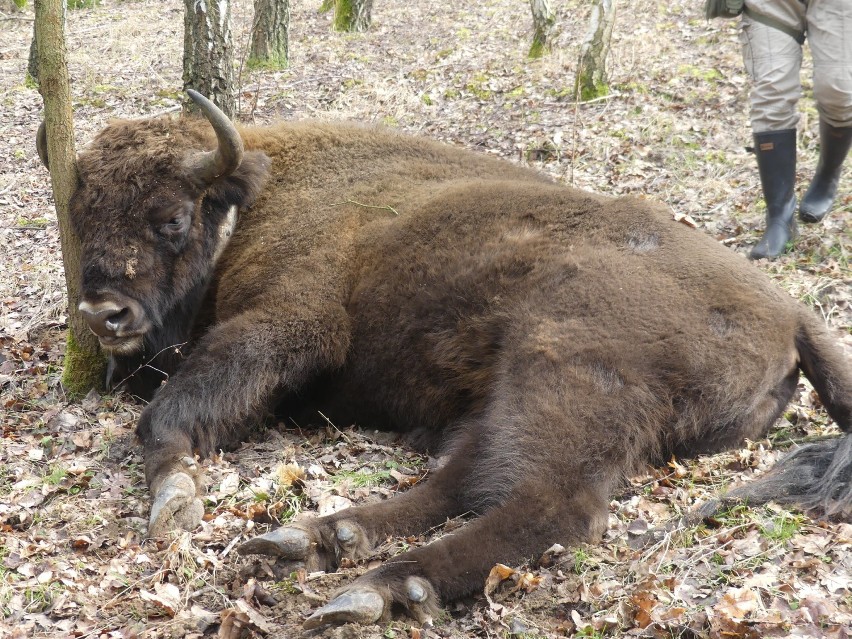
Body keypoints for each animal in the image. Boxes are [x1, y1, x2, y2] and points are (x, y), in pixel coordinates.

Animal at [38, 91, 852, 632]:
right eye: (79, 218)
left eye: (172, 219)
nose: (103, 314)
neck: (260, 196)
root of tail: (792, 311)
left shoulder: (291, 323)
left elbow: (170, 413)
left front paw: (174, 499)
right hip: (507, 389)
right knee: (469, 475)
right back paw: (322, 539)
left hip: (560, 364)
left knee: (549, 502)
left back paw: (381, 585)